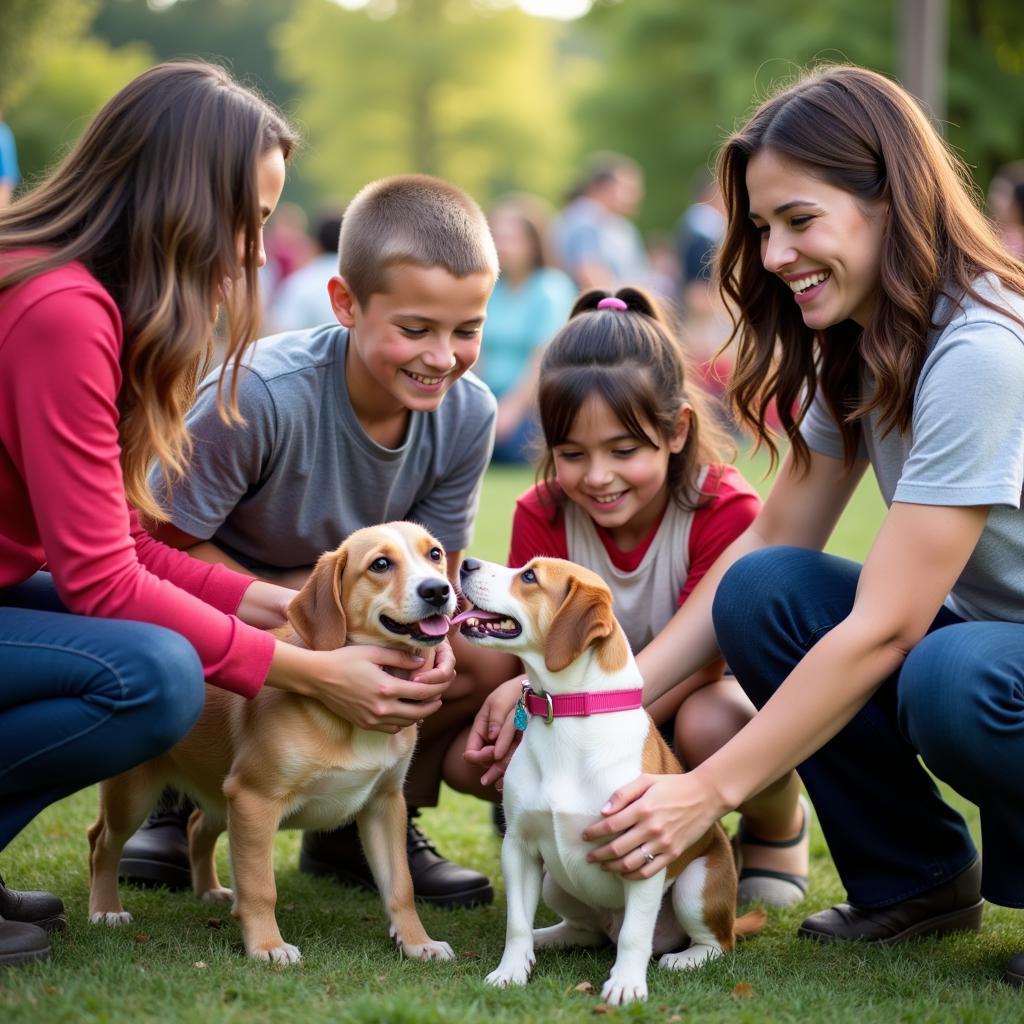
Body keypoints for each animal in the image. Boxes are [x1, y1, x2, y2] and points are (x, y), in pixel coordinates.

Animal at [88, 524, 456, 962]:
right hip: (136, 793)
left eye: (435, 554)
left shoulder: (385, 803)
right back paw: (106, 909)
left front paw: (418, 942)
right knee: (102, 841)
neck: (347, 721)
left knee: (196, 827)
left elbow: (401, 885)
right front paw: (267, 946)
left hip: (220, 794)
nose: (438, 590)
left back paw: (208, 890)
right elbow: (260, 887)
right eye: (380, 564)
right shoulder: (254, 798)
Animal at [454, 557, 761, 1003]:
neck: (568, 712)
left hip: (695, 885)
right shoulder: (520, 848)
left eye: (529, 576)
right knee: (586, 931)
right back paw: (547, 939)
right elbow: (516, 924)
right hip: (555, 883)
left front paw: (626, 984)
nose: (466, 563)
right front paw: (511, 970)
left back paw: (685, 958)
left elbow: (636, 935)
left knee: (714, 941)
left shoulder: (644, 854)